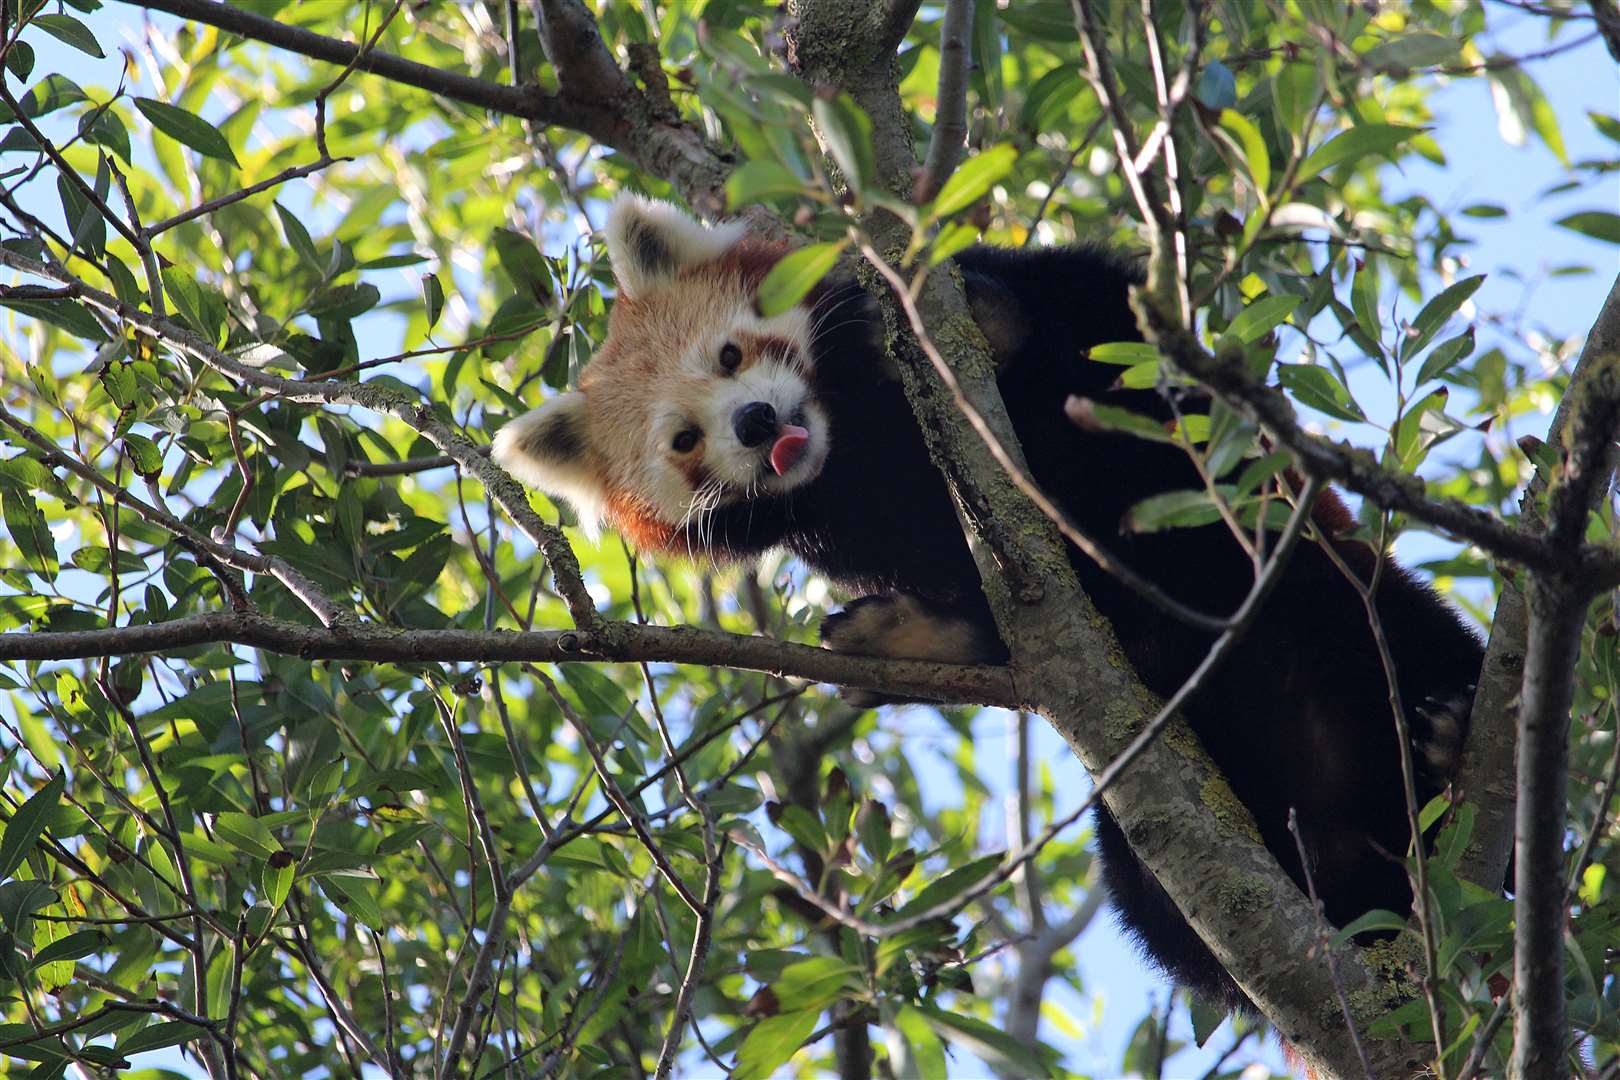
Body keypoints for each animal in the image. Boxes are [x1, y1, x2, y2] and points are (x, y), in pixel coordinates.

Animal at [489, 194, 1483, 1016]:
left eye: (730, 354)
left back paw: (1453, 737)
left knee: (1413, 642)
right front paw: (910, 631)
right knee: (1168, 917)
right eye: (684, 442)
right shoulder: (874, 529)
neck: (865, 439)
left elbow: (1097, 322)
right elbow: (989, 617)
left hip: (1329, 592)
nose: (757, 424)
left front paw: (978, 313)